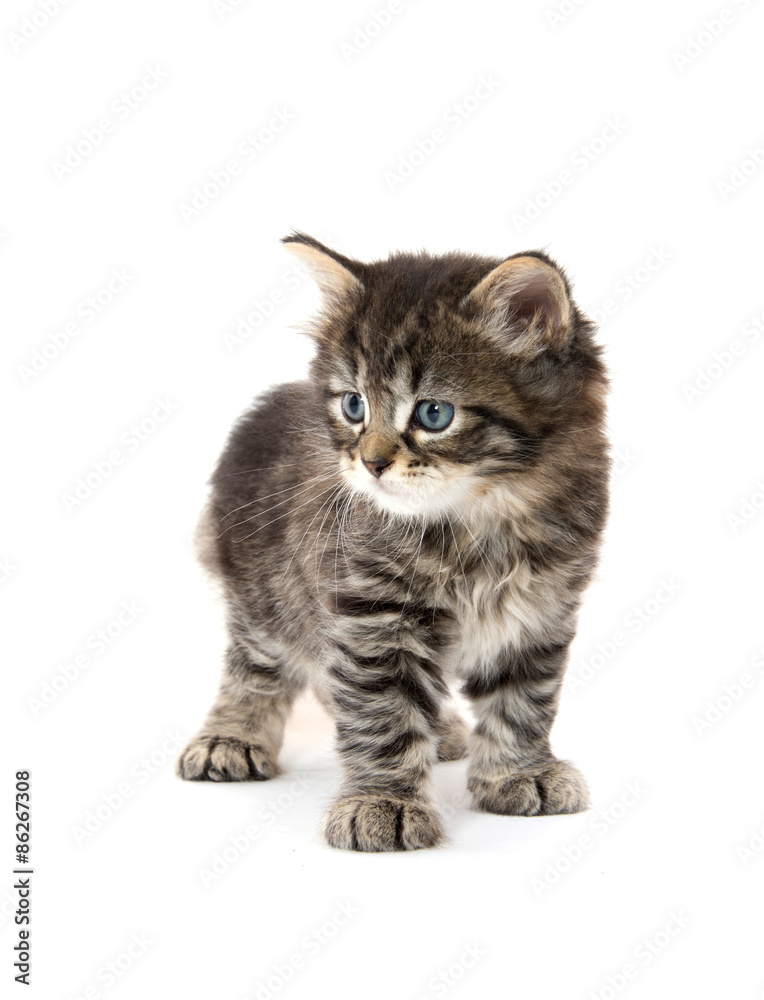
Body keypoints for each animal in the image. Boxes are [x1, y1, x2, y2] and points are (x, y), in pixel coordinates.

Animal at [179, 232, 608, 852]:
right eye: (353, 405)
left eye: (434, 413)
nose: (373, 462)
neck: (484, 518)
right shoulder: (371, 612)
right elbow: (381, 711)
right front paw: (384, 802)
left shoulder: (540, 608)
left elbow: (524, 698)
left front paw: (518, 773)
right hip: (265, 589)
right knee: (256, 666)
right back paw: (230, 737)